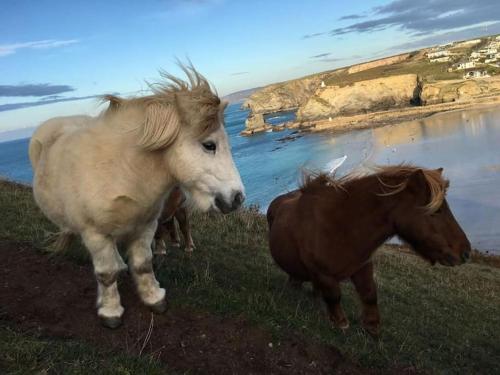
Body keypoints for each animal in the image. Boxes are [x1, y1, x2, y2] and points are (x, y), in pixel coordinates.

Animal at [29, 67, 244, 328]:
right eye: (209, 145)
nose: (237, 198)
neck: (121, 171)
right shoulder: (95, 235)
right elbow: (106, 273)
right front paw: (111, 312)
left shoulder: (146, 227)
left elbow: (143, 265)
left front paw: (154, 299)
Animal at [268, 166, 470, 336]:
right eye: (436, 211)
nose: (466, 252)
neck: (338, 226)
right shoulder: (323, 274)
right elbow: (334, 296)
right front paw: (340, 322)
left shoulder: (362, 267)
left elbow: (370, 294)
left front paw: (372, 326)